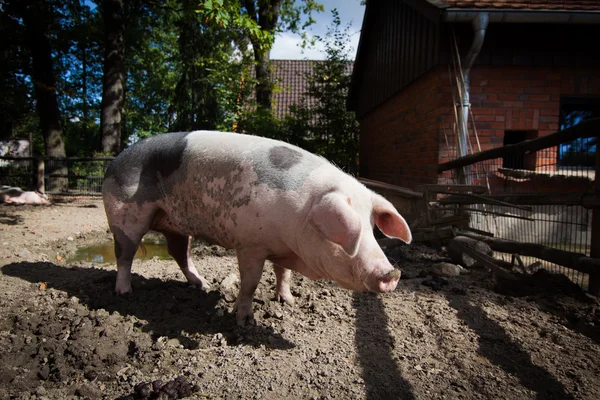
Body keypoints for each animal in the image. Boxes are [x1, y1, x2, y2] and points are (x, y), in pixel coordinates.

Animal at [103, 131, 412, 324]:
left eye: (372, 229)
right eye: (348, 233)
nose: (393, 273)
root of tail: (115, 161)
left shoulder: (282, 247)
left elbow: (283, 274)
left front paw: (288, 301)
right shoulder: (250, 244)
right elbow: (250, 282)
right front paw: (245, 321)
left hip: (176, 225)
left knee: (178, 252)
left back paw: (202, 286)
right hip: (125, 215)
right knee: (124, 254)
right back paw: (125, 293)